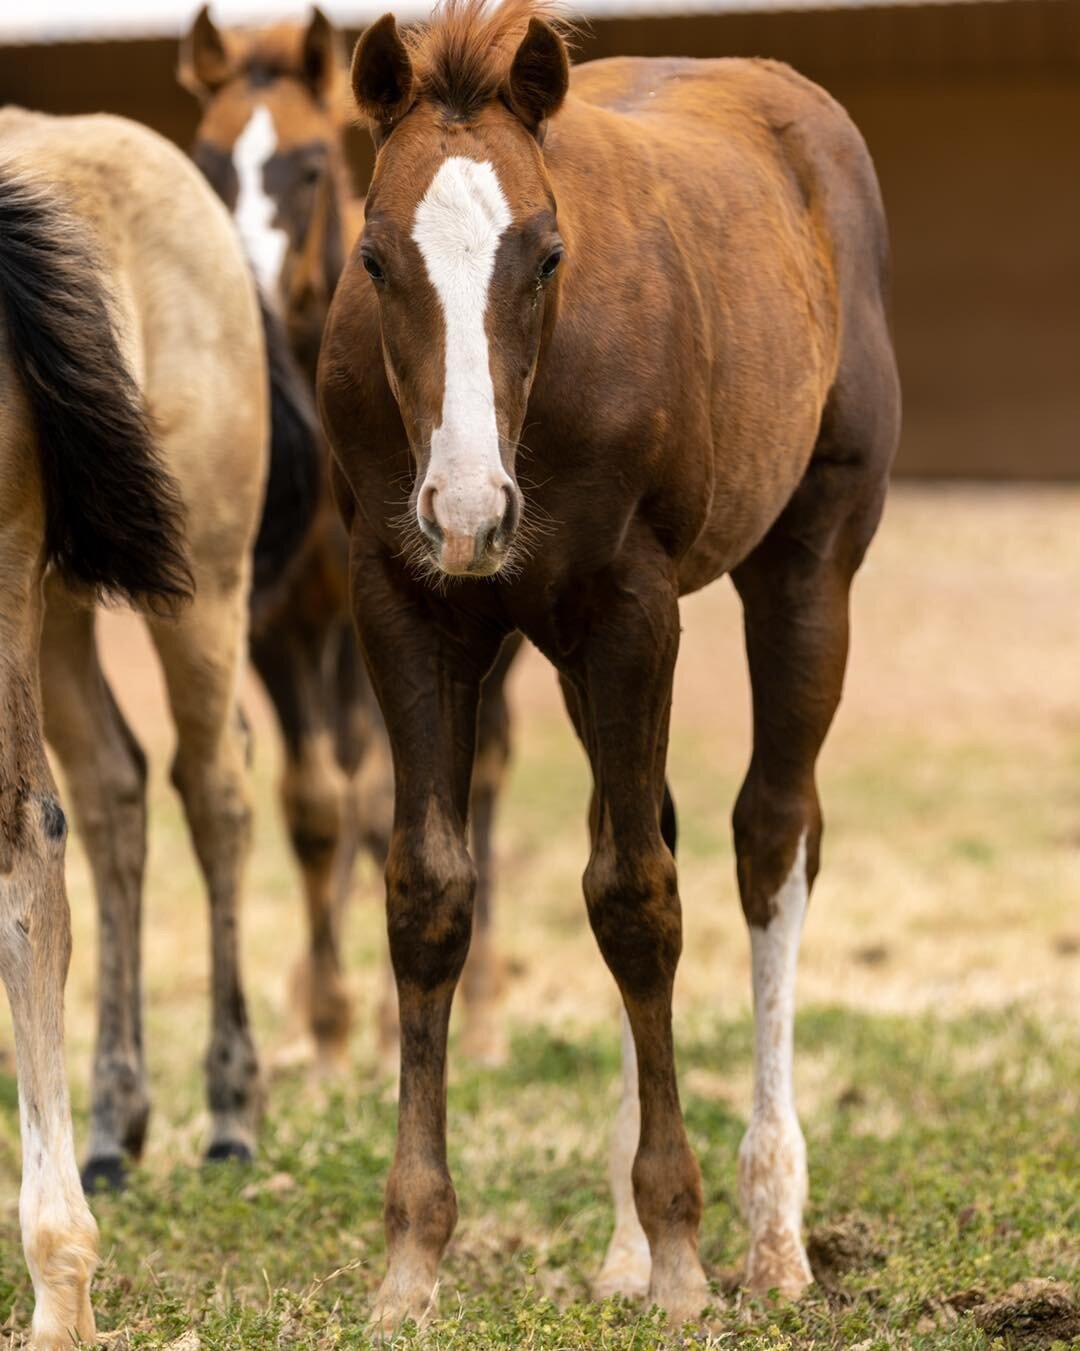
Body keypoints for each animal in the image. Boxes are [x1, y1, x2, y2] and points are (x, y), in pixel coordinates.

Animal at [181, 5, 524, 1069]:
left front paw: (380, 1018)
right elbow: (315, 805)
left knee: (483, 770)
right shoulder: (277, 620)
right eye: (209, 161)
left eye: (305, 166)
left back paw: (483, 1006)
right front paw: (326, 1019)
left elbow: (388, 798)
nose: (246, 286)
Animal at [318, 0, 902, 1329]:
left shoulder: (633, 609)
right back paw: (624, 1244)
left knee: (769, 837)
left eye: (545, 255)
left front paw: (686, 1253)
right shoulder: (405, 604)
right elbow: (432, 893)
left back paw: (772, 1232)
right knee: (658, 826)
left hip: (808, 561)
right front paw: (412, 1259)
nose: (470, 509)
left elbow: (638, 899)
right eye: (374, 258)